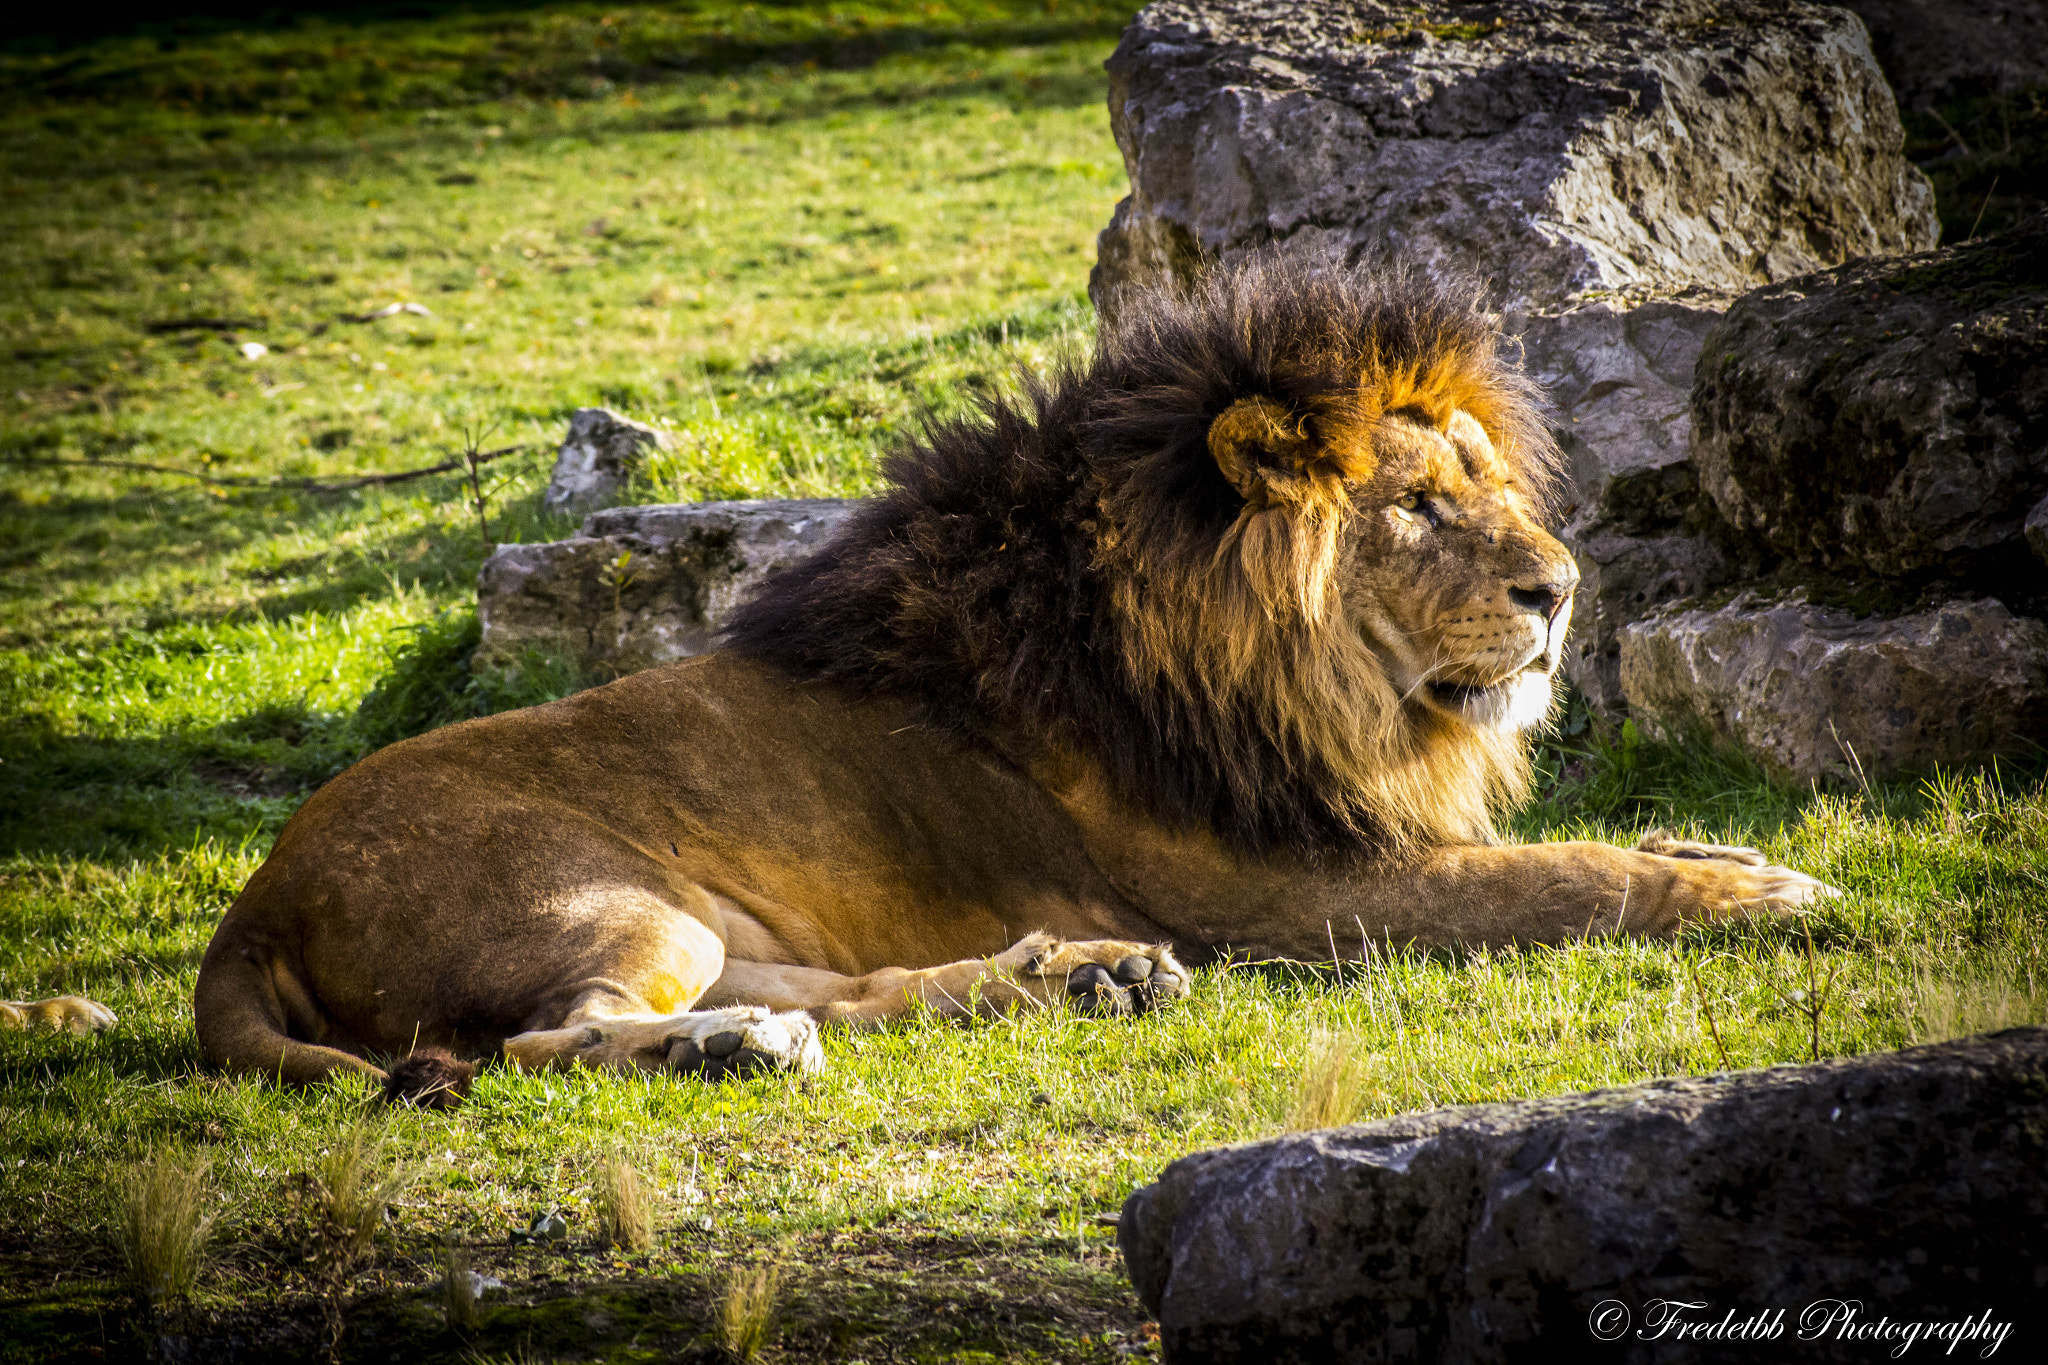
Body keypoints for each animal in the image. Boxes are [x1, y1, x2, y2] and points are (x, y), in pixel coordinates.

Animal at [8, 258, 1835, 1096]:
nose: (1561, 587)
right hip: (601, 900)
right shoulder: (1282, 896)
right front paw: (1769, 895)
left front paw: (1724, 850)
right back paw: (758, 1048)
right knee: (555, 1038)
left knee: (813, 996)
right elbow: (1564, 875)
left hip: (710, 914)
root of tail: (253, 899)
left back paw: (1068, 979)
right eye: (1412, 509)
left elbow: (1604, 847)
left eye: (1481, 482)